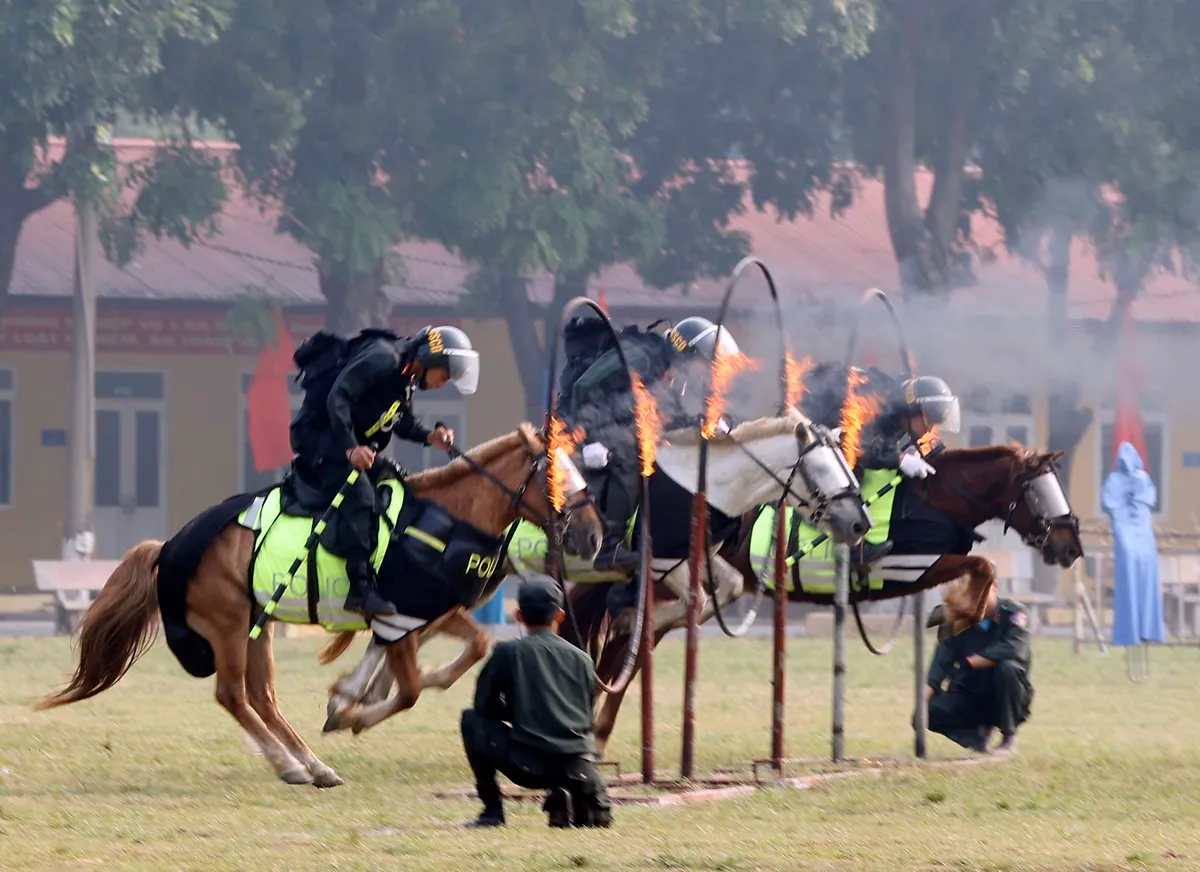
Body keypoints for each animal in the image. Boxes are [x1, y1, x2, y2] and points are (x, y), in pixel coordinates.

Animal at [35, 424, 609, 791]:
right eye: (555, 476)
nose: (593, 536)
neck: (444, 522)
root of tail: (171, 544)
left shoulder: (427, 614)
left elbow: (472, 650)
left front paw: (348, 700)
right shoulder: (401, 619)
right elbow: (411, 690)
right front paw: (353, 712)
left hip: (257, 625)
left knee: (260, 697)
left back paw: (307, 765)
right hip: (228, 626)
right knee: (233, 695)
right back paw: (291, 763)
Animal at [566, 443, 1084, 748]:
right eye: (1041, 490)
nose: (1071, 547)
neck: (933, 498)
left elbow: (984, 571)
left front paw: (953, 617)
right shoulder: (907, 566)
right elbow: (984, 569)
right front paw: (953, 614)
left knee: (628, 644)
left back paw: (598, 724)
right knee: (628, 642)